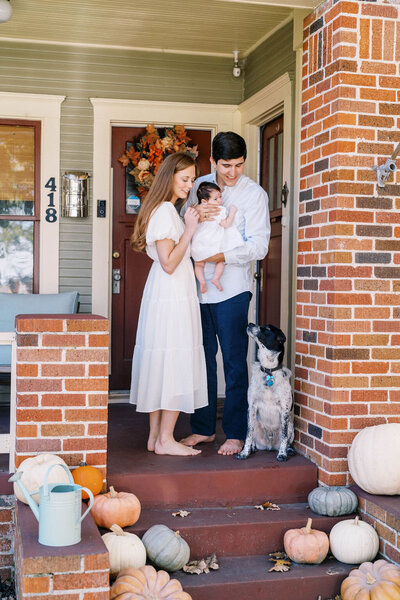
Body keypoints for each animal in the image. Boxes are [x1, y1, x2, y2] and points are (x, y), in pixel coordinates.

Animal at [236, 326, 296, 462]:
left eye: (267, 329)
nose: (249, 324)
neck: (269, 370)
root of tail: (269, 445)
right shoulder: (252, 408)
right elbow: (248, 435)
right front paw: (244, 453)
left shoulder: (285, 410)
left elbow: (284, 437)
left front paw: (282, 454)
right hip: (255, 423)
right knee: (253, 438)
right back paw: (252, 449)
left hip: (290, 425)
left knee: (286, 440)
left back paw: (288, 450)